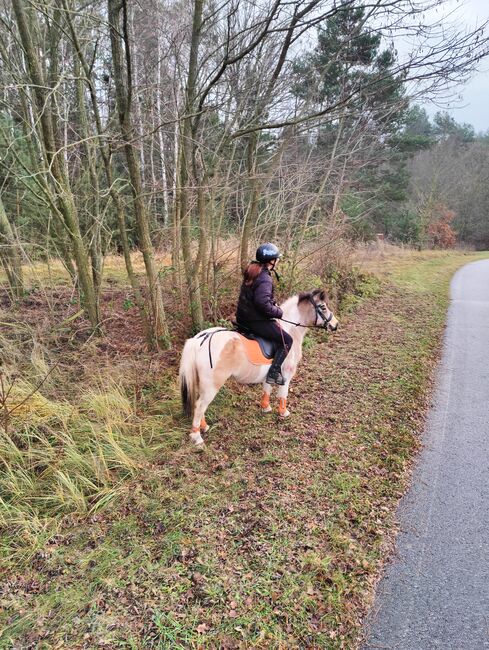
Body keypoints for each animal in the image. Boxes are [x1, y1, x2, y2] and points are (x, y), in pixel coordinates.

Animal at [179, 289, 338, 447]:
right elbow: (283, 394)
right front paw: (283, 412)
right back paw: (197, 437)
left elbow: (267, 390)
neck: (290, 329)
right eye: (323, 307)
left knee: (200, 405)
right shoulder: (287, 374)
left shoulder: (271, 374)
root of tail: (200, 339)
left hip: (203, 384)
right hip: (212, 385)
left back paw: (204, 426)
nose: (335, 324)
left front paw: (266, 407)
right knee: (200, 406)